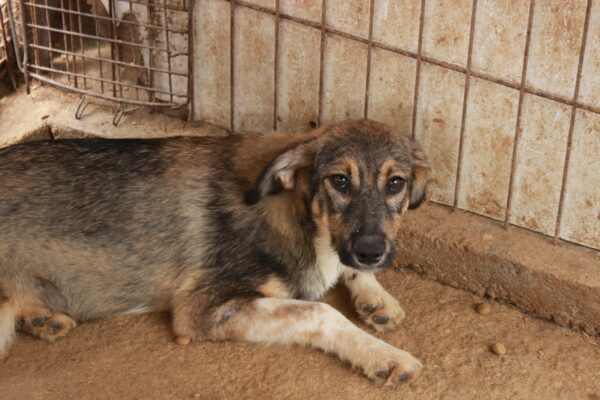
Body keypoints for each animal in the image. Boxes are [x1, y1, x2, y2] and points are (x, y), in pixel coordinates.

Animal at [1, 118, 432, 384]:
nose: (371, 252)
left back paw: (42, 319)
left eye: (396, 183)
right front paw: (384, 356)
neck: (296, 215)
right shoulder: (203, 308)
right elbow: (320, 312)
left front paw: (375, 297)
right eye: (339, 180)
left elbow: (342, 271)